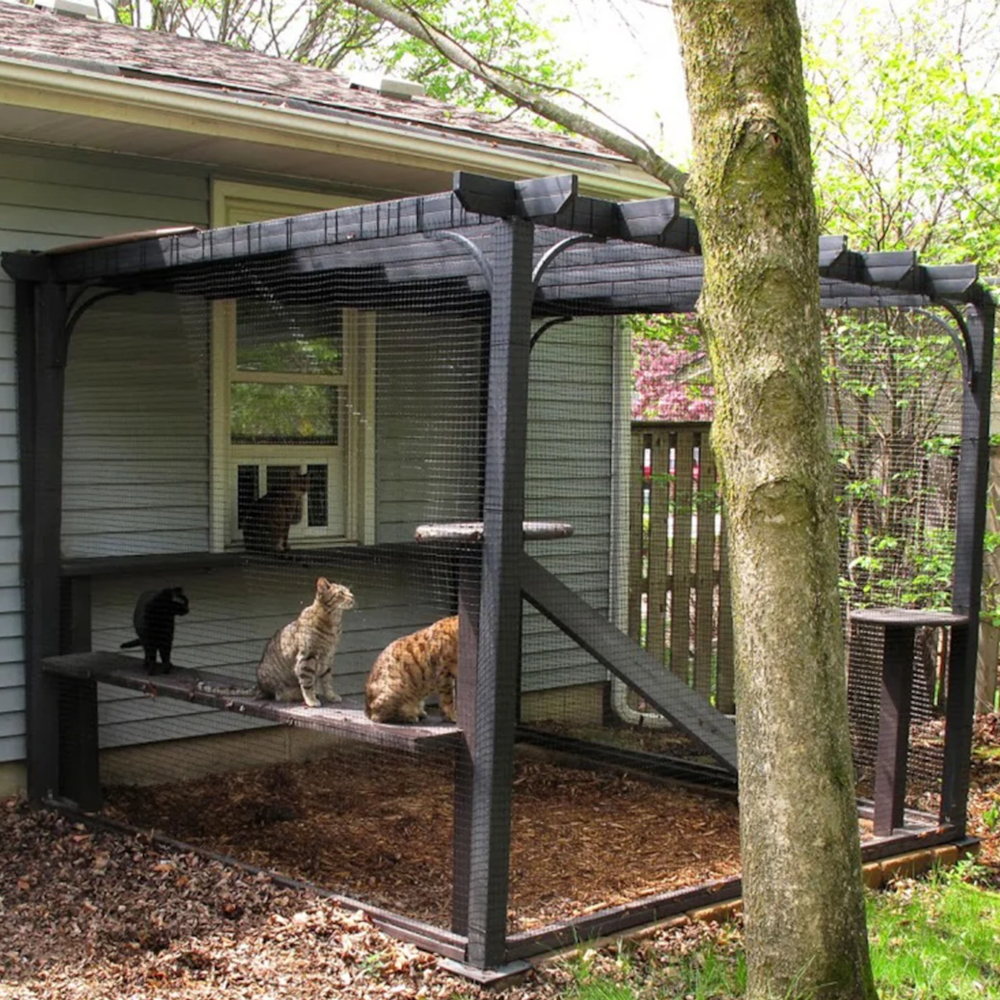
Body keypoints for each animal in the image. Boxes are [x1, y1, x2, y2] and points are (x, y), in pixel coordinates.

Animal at [196, 576, 356, 708]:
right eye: (341, 593)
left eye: (349, 591)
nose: (353, 596)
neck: (333, 624)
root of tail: (259, 685)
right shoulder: (306, 658)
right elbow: (307, 683)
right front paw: (311, 700)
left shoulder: (328, 659)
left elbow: (327, 681)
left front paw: (331, 696)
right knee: (276, 695)